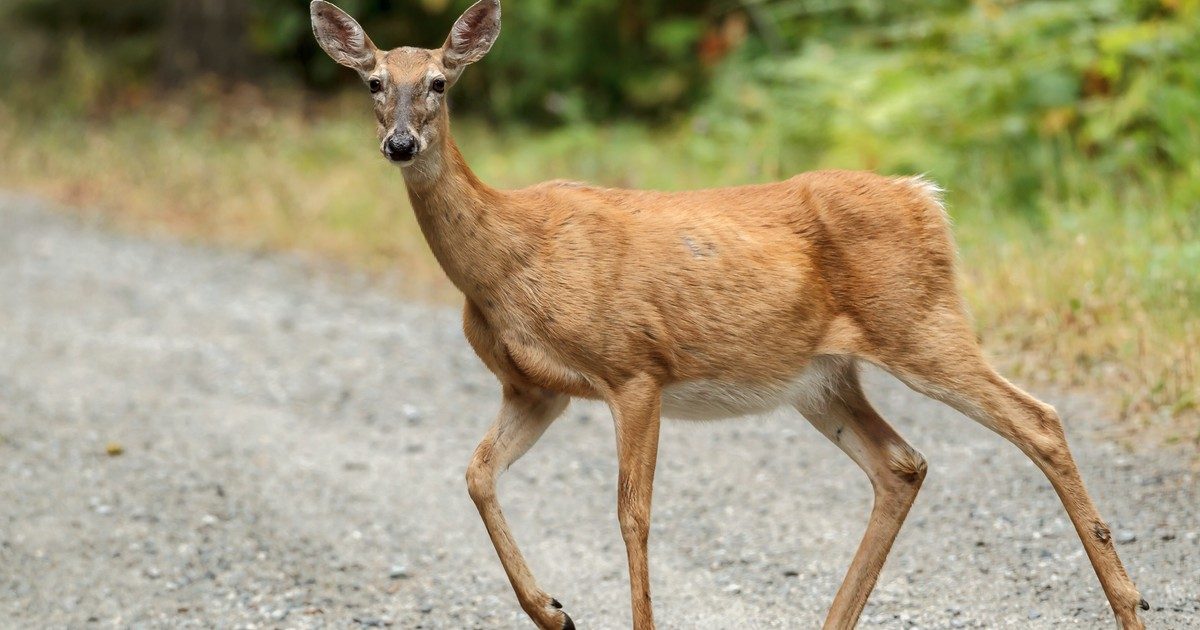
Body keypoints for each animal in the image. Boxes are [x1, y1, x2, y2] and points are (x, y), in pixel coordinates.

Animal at [312, 2, 1152, 624]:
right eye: (374, 82)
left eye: (440, 82)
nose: (400, 143)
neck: (507, 260)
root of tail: (926, 197)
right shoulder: (536, 388)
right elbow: (476, 474)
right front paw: (552, 609)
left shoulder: (633, 367)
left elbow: (633, 514)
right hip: (822, 378)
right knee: (902, 464)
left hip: (920, 321)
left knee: (1038, 419)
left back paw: (1129, 605)